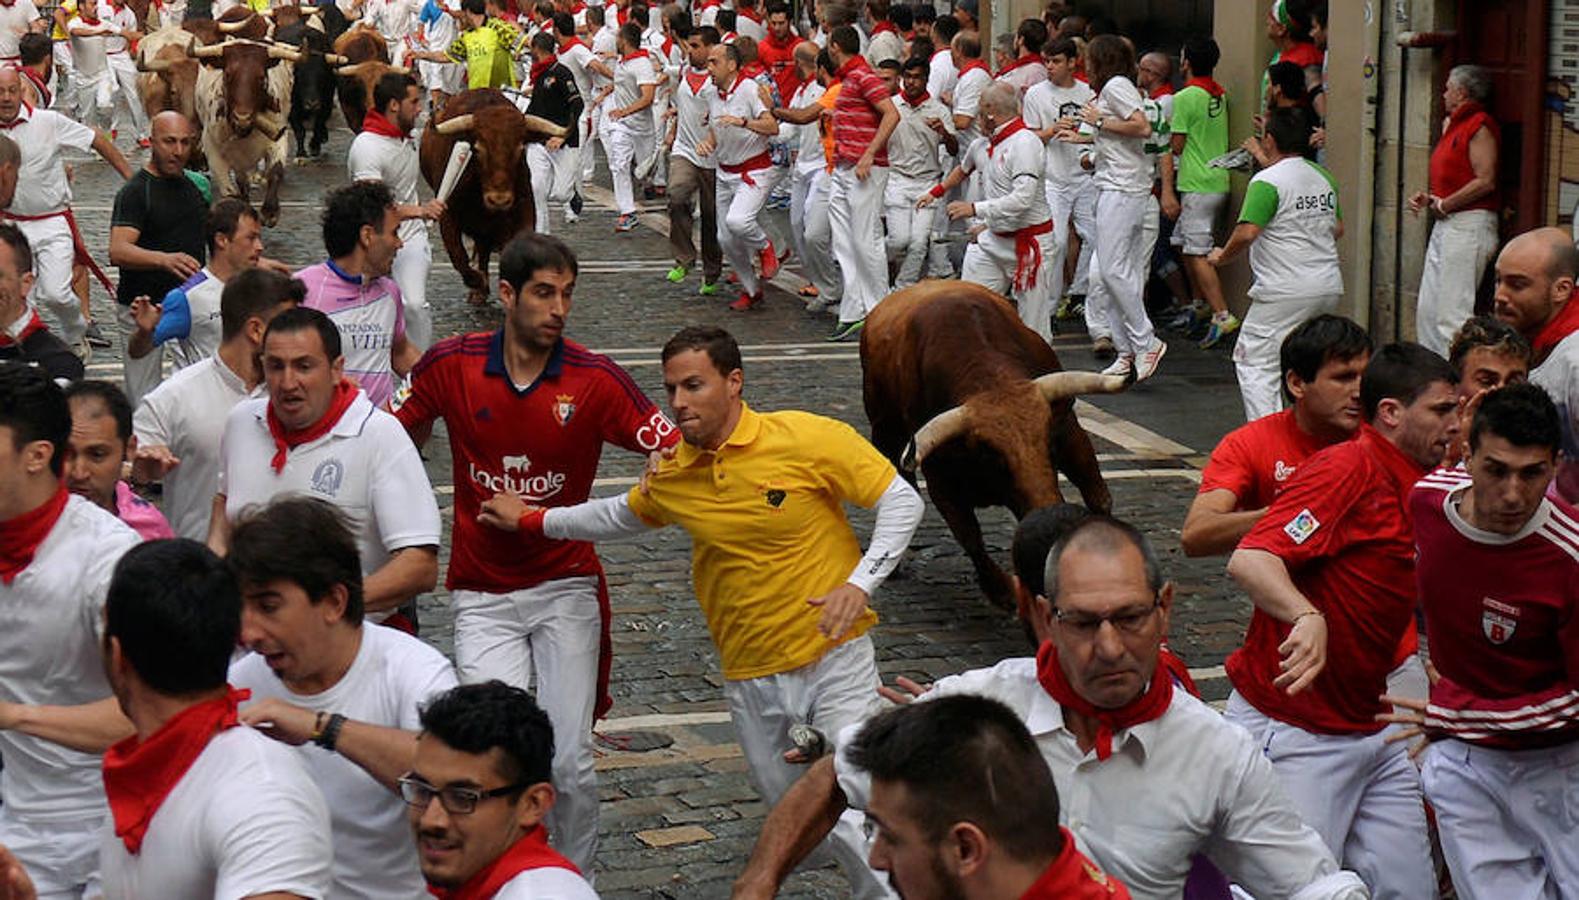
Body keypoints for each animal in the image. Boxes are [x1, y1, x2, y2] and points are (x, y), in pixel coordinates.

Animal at [191, 38, 298, 225]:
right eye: (227, 74)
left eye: (261, 77)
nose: (242, 117)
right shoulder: (213, 149)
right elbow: (230, 191)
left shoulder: (278, 137)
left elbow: (275, 172)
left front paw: (270, 212)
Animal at [420, 88, 568, 304]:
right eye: (478, 149)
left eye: (520, 149)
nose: (499, 200)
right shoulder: (447, 214)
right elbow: (458, 255)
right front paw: (477, 281)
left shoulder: (524, 210)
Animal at [858, 284, 1130, 606]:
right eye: (992, 456)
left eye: (1048, 443)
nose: (1052, 524)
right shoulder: (939, 477)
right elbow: (970, 537)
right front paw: (1001, 591)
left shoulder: (1069, 432)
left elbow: (1099, 496)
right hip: (884, 431)